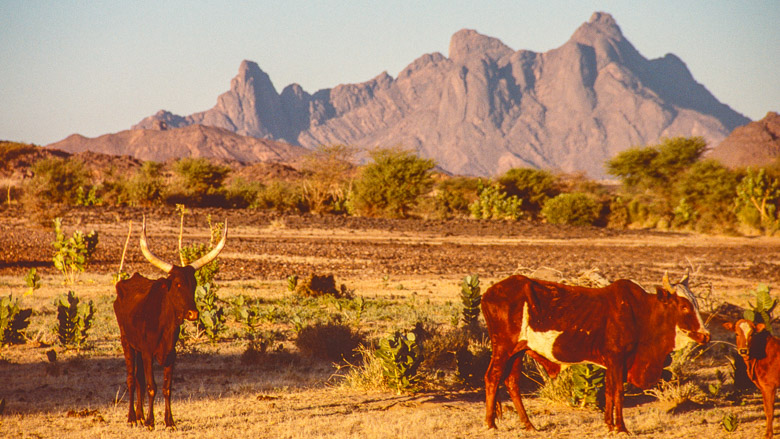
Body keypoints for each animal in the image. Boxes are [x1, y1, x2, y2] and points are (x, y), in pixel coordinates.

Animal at [114, 218, 227, 432]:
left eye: (193, 284)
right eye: (177, 284)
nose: (193, 313)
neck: (165, 325)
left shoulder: (171, 355)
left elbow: (167, 388)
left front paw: (169, 422)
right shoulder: (148, 353)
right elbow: (152, 386)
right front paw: (151, 422)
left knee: (139, 379)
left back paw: (139, 416)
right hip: (127, 342)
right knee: (132, 379)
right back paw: (132, 418)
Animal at [478, 272, 708, 434]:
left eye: (695, 303)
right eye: (684, 306)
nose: (705, 335)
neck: (640, 313)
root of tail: (488, 293)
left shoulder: (612, 362)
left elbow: (609, 391)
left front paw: (610, 425)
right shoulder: (617, 358)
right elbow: (617, 391)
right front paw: (621, 427)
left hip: (518, 351)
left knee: (511, 382)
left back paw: (528, 425)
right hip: (503, 347)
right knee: (492, 377)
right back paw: (490, 424)